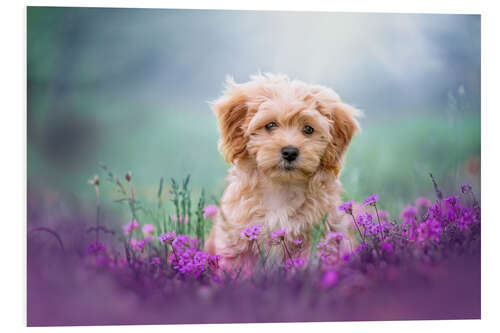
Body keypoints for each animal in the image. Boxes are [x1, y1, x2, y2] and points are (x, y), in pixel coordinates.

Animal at [205, 72, 362, 270]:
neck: (282, 187)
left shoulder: (320, 236)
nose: (290, 152)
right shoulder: (238, 239)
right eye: (270, 125)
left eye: (308, 129)